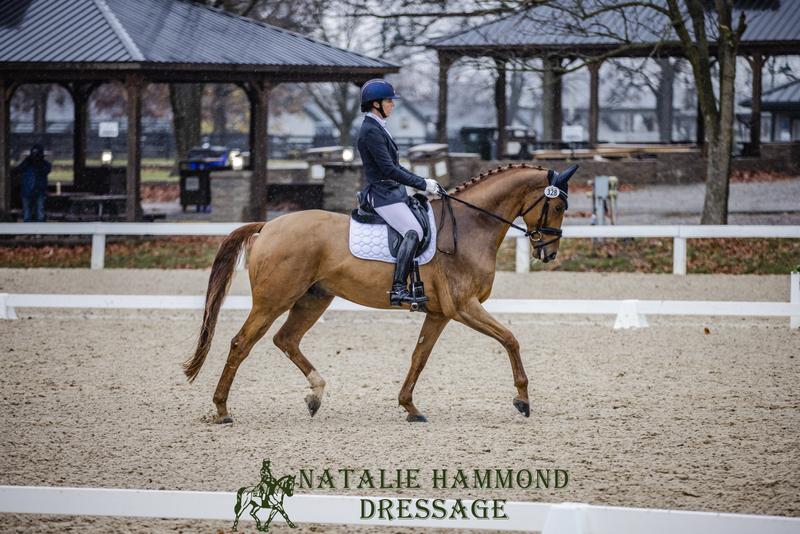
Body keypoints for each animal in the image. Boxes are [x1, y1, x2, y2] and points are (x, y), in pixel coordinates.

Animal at [184, 165, 580, 426]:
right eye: (559, 207)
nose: (548, 253)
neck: (470, 227)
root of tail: (268, 225)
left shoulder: (440, 312)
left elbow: (419, 357)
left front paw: (410, 407)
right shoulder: (464, 306)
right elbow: (510, 339)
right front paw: (522, 399)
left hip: (313, 298)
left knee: (286, 339)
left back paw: (315, 394)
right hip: (273, 301)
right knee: (241, 344)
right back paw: (222, 410)